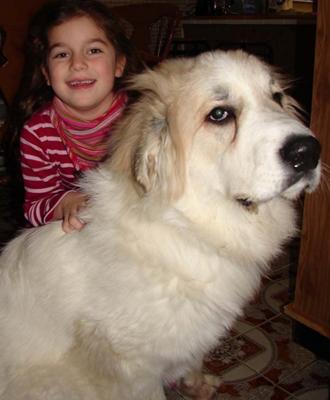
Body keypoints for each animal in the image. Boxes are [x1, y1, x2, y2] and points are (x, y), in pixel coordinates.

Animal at [0, 50, 320, 400]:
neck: (186, 228)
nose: (309, 151)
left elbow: (192, 359)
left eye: (277, 97)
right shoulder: (135, 369)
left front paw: (197, 383)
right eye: (219, 114)